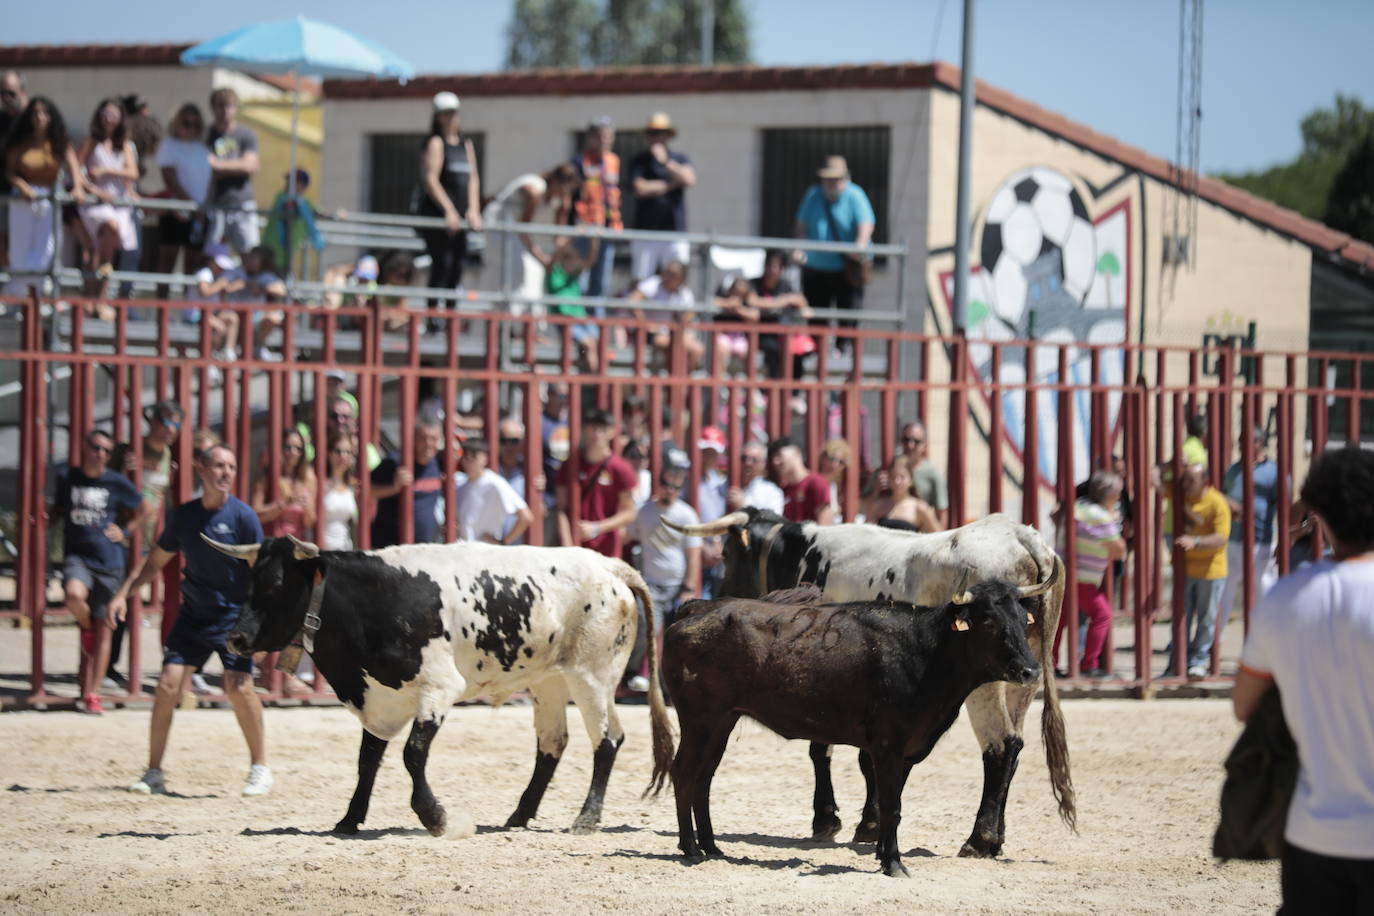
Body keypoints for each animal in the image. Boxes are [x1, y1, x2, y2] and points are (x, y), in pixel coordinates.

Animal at [206, 532, 673, 840]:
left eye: (276, 585)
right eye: (250, 582)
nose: (236, 640)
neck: (376, 599)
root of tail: (608, 566)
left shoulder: (438, 689)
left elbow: (413, 755)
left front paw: (436, 817)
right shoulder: (381, 697)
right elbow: (368, 760)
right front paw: (350, 819)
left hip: (592, 677)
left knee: (607, 741)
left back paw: (586, 818)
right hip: (549, 682)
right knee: (552, 745)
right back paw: (519, 815)